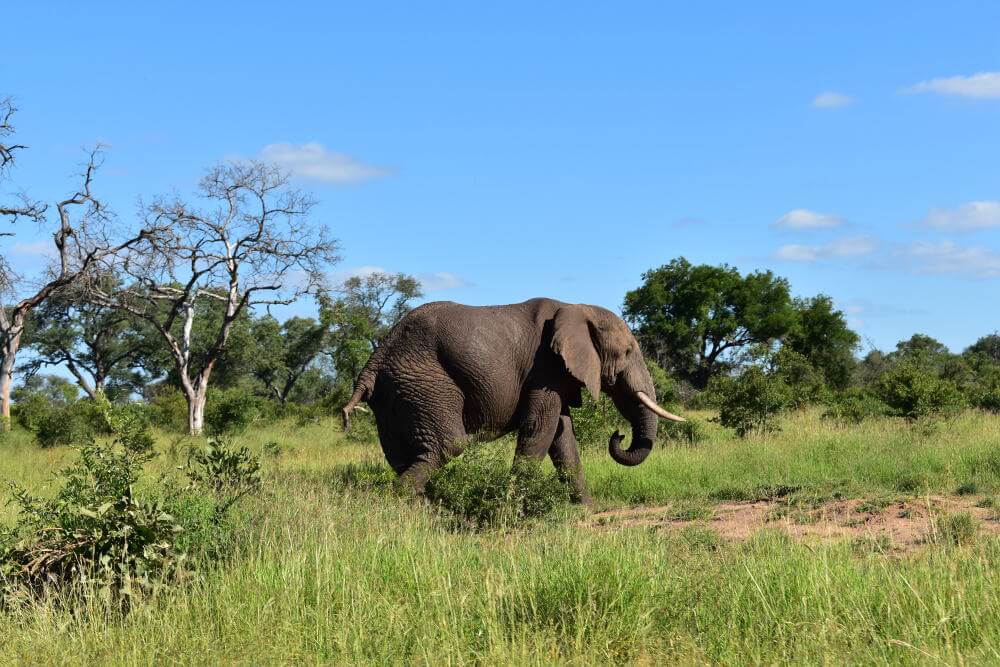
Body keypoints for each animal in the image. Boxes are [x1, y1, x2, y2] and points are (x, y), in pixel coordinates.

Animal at [340, 296, 684, 500]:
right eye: (627, 352)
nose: (619, 434)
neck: (577, 307)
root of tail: (373, 362)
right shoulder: (544, 367)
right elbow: (540, 429)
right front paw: (516, 505)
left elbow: (563, 437)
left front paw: (585, 510)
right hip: (425, 382)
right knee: (448, 445)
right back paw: (400, 503)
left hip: (397, 392)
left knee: (401, 454)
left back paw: (418, 506)